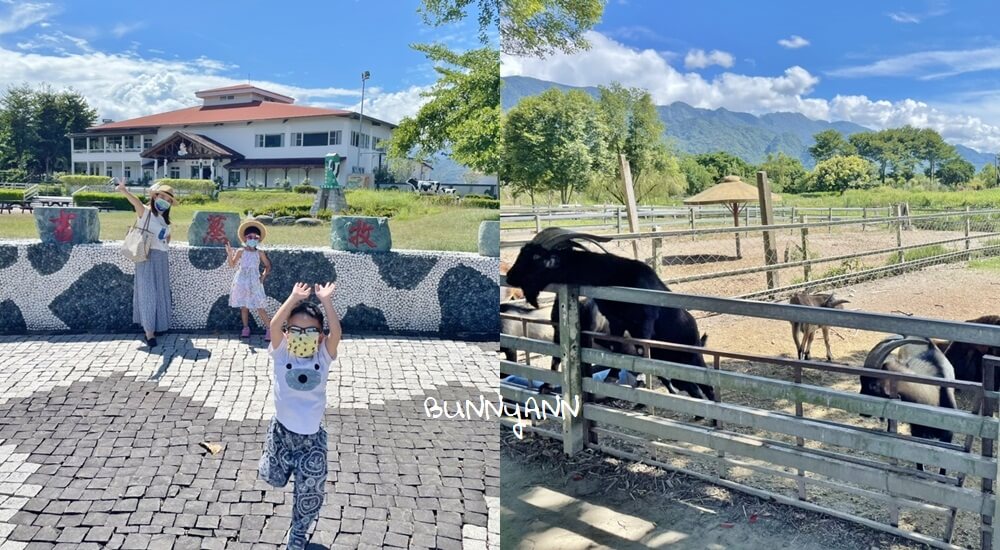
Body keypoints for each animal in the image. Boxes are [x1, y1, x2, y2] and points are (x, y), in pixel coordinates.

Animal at [508, 227, 712, 402]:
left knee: (706, 387)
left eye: (536, 256)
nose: (510, 276)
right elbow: (616, 347)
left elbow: (639, 351)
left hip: (693, 359)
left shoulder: (643, 324)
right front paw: (612, 377)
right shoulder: (616, 321)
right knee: (692, 387)